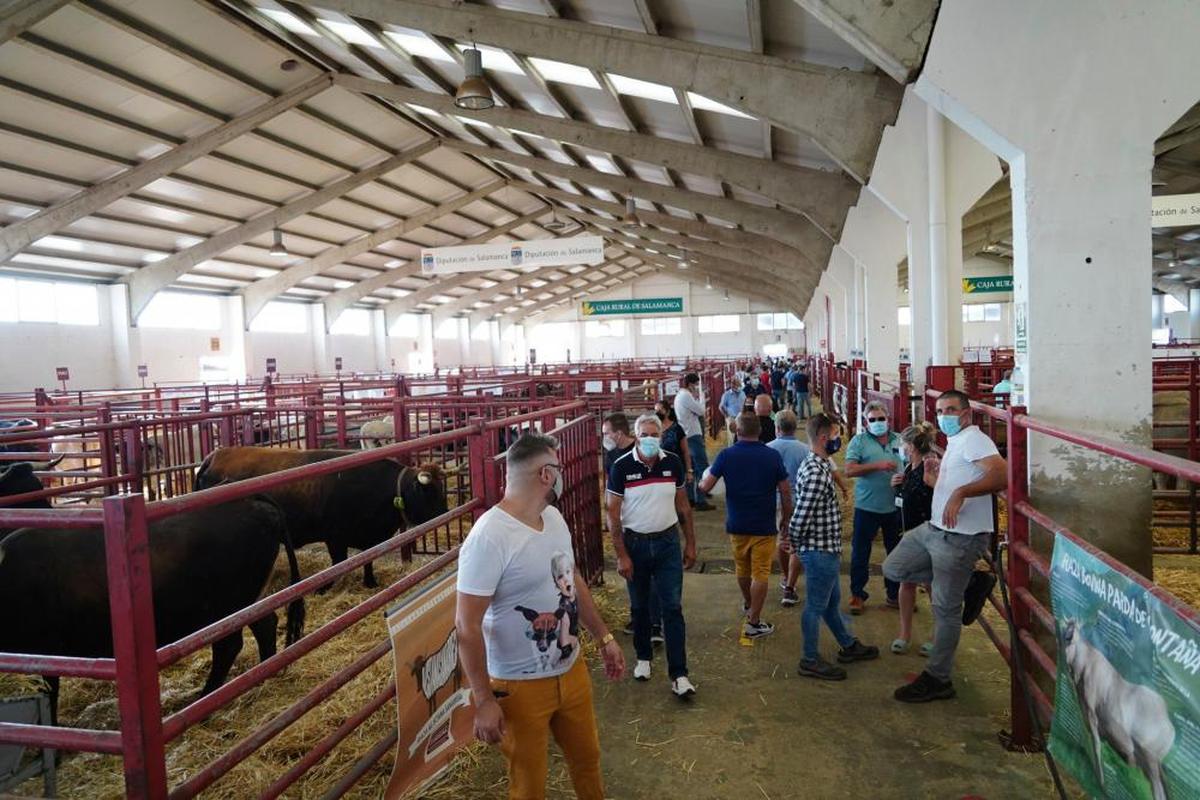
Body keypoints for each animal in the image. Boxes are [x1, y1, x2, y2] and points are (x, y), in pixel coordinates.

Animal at [0, 496, 304, 724]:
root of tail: (253, 502)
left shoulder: (45, 650)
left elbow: (49, 692)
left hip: (225, 608)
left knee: (228, 646)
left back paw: (206, 698)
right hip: (247, 602)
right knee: (265, 625)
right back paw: (265, 674)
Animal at [194, 443, 448, 587]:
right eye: (429, 493)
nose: (447, 513)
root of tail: (214, 456)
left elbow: (367, 560)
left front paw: (370, 582)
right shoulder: (335, 537)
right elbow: (338, 562)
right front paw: (326, 587)